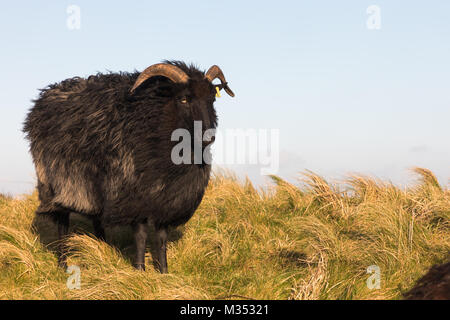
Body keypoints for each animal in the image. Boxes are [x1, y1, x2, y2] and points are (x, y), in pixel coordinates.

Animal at [23, 62, 236, 272]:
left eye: (212, 99)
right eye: (183, 99)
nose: (208, 137)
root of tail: (43, 99)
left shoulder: (166, 200)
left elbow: (161, 238)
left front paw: (164, 272)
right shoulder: (134, 197)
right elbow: (141, 236)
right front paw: (140, 270)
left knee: (97, 220)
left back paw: (103, 251)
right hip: (58, 182)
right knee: (62, 223)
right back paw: (63, 264)